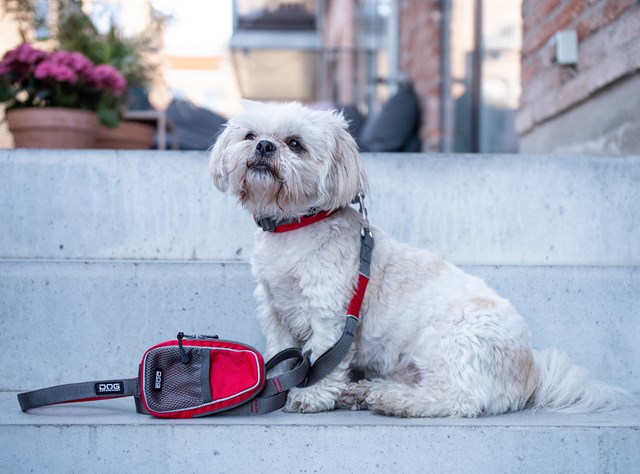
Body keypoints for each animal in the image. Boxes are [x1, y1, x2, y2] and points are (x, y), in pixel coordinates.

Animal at [211, 102, 624, 416]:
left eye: (295, 144)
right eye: (250, 136)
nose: (265, 146)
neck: (293, 226)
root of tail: (532, 372)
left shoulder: (329, 315)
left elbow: (322, 362)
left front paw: (310, 395)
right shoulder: (275, 310)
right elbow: (283, 354)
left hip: (446, 340)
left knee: (456, 400)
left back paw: (392, 401)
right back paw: (362, 392)